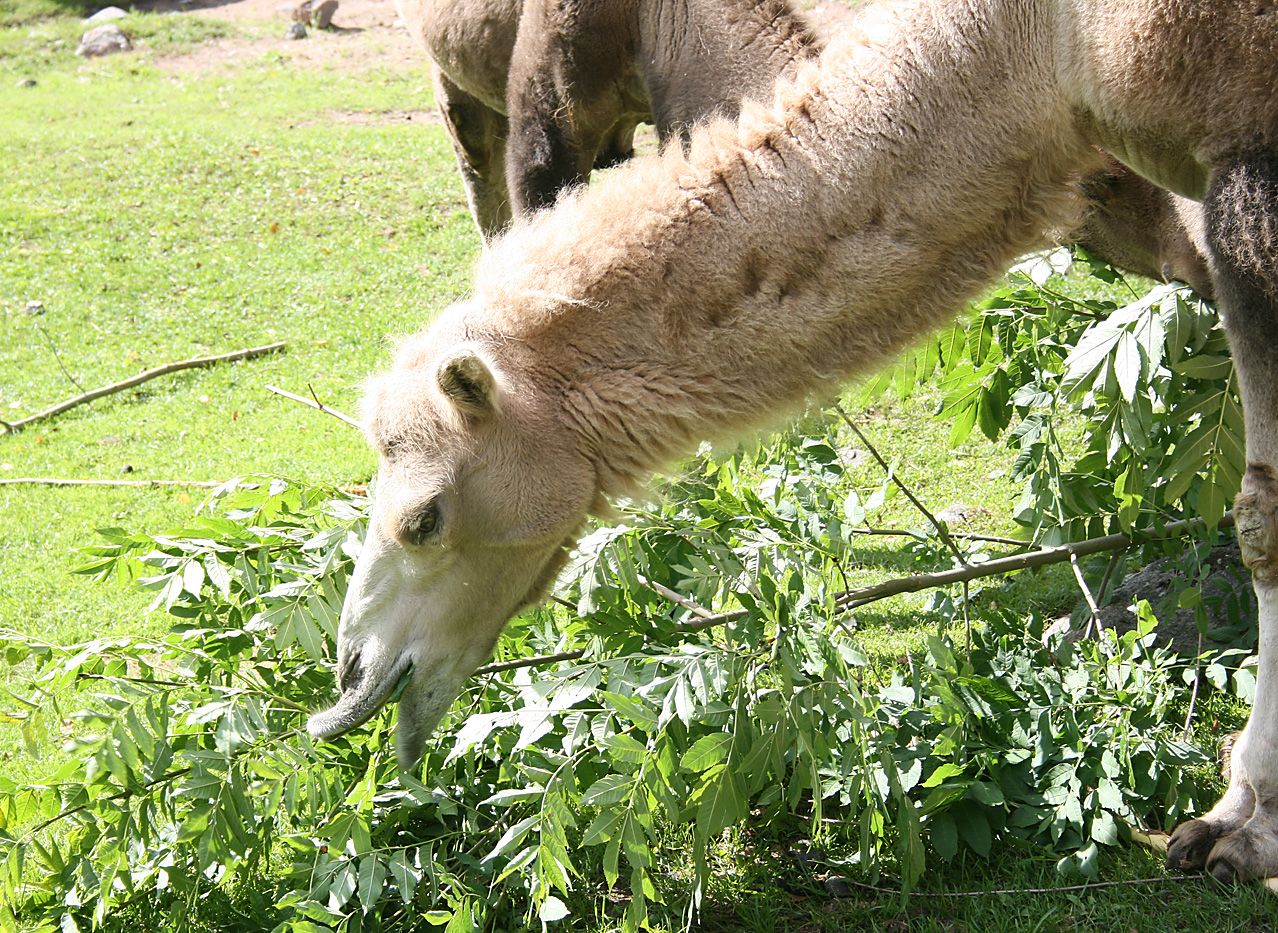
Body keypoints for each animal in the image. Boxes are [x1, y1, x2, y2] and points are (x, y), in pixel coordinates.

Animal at [311, 0, 1278, 884]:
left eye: (422, 519)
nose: (351, 677)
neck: (1036, 40)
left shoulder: (1244, 163)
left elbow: (1261, 519)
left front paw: (1242, 829)